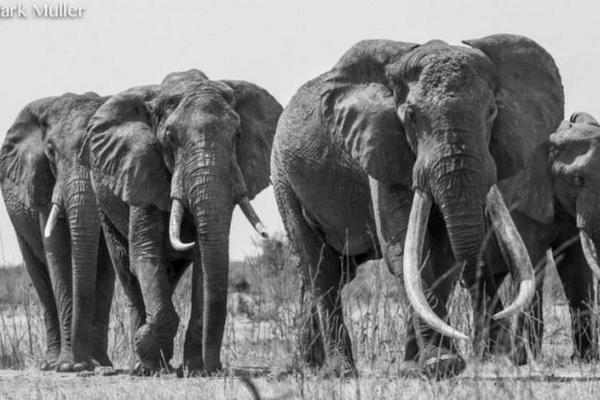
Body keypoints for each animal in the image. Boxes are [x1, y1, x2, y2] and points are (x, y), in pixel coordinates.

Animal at [0, 91, 115, 372]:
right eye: (50, 152)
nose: (83, 364)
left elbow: (106, 265)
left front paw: (99, 363)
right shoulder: (43, 183)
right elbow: (58, 256)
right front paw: (67, 366)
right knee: (40, 276)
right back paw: (50, 363)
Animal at [78, 69, 282, 376]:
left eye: (236, 136)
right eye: (171, 138)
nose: (215, 368)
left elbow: (204, 263)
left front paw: (195, 369)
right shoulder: (141, 169)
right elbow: (145, 255)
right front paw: (148, 349)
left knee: (169, 274)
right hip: (104, 202)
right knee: (127, 270)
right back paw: (143, 365)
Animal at [272, 34, 564, 378]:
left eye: (492, 111)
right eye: (411, 116)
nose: (495, 349)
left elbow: (444, 257)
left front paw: (422, 366)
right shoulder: (381, 146)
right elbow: (404, 247)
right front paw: (441, 363)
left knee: (333, 271)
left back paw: (310, 366)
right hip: (284, 178)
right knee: (321, 269)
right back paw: (337, 371)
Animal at [482, 110, 600, 362]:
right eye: (577, 179)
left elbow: (576, 268)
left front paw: (584, 358)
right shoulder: (517, 198)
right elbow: (532, 262)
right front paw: (523, 360)